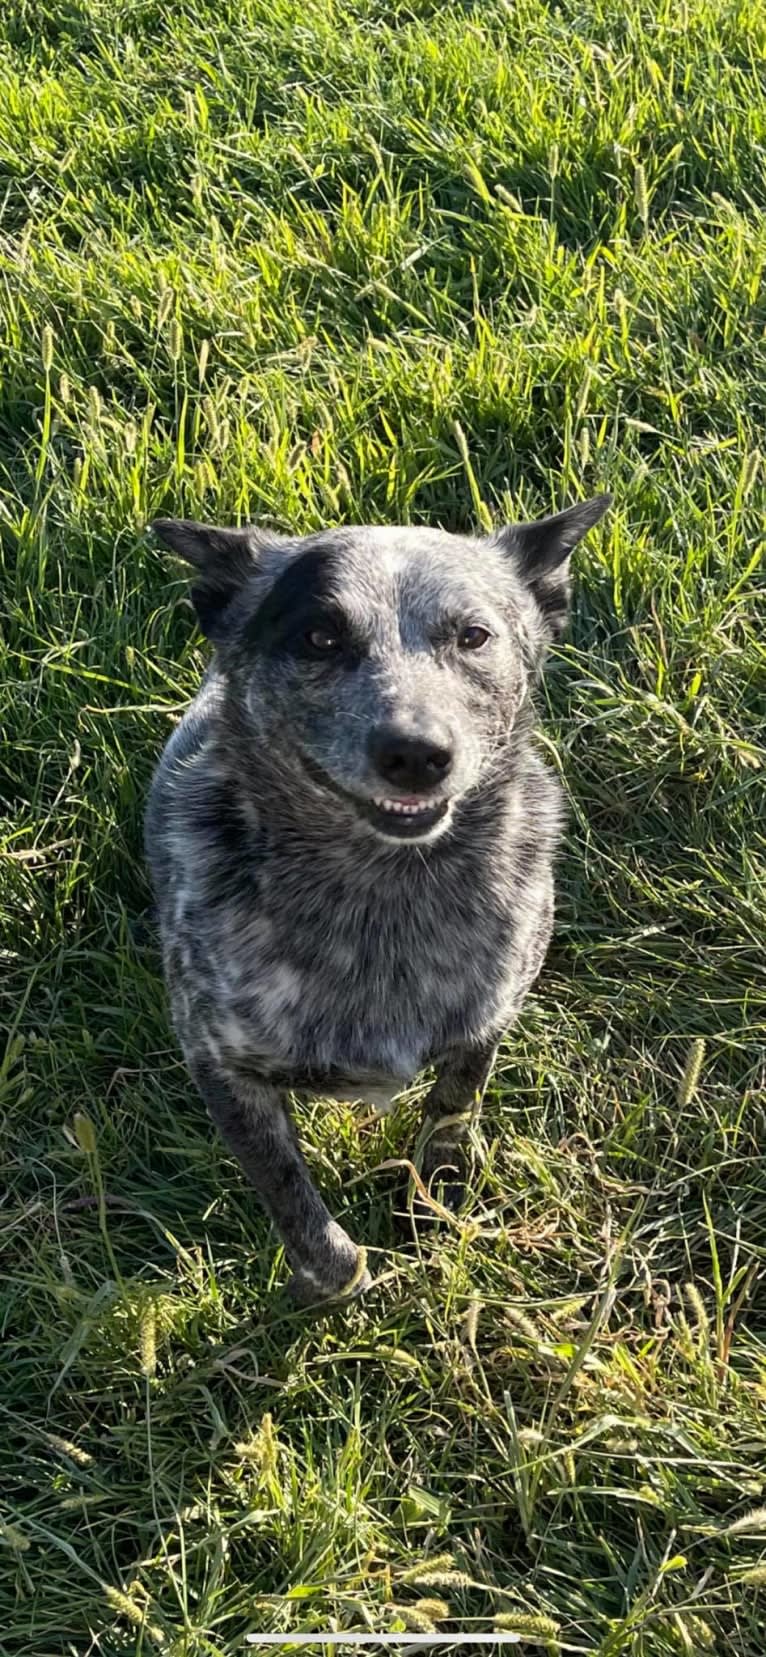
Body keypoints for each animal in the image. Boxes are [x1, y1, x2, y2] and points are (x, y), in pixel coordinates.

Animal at [143, 497, 610, 1299]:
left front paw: (434, 1201)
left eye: (473, 635)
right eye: (320, 636)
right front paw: (342, 1279)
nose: (416, 753)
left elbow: (454, 1105)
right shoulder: (220, 1066)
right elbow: (288, 1191)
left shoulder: (487, 1022)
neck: (383, 892)